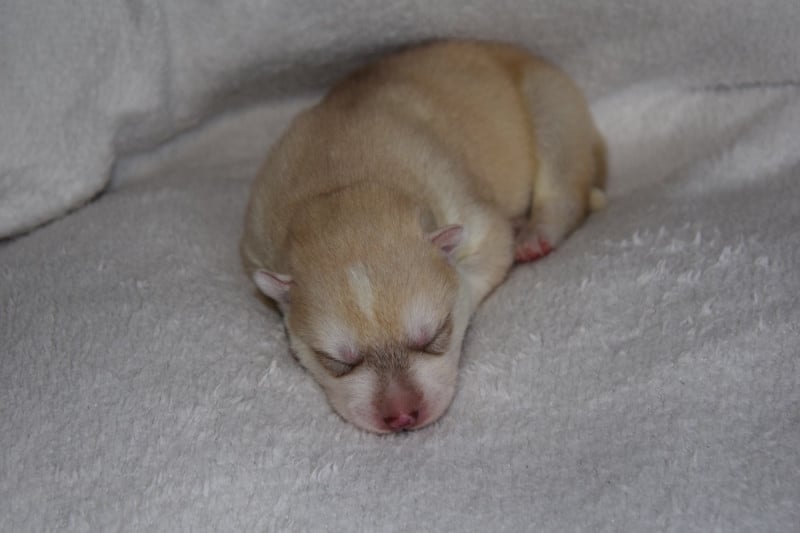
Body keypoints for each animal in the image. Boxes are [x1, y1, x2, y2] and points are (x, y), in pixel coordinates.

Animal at [241, 40, 606, 433]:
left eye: (434, 336)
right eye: (338, 361)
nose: (401, 416)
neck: (342, 183)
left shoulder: (470, 210)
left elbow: (489, 253)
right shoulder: (254, 237)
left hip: (553, 104)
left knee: (564, 185)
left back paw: (535, 234)